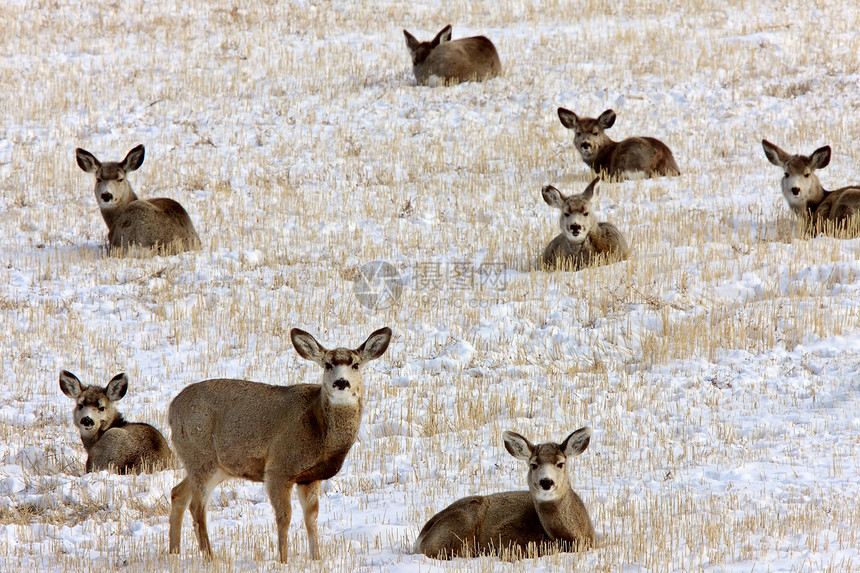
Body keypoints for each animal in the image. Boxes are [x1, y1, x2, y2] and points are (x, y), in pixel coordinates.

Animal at [167, 326, 394, 564]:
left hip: (211, 465)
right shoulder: (279, 468)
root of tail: (171, 411)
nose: (341, 382)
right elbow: (284, 517)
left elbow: (311, 518)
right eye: (327, 364)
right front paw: (283, 560)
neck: (320, 431)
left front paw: (316, 558)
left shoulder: (309, 477)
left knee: (177, 493)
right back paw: (210, 557)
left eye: (356, 364)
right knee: (197, 508)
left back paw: (174, 552)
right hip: (200, 456)